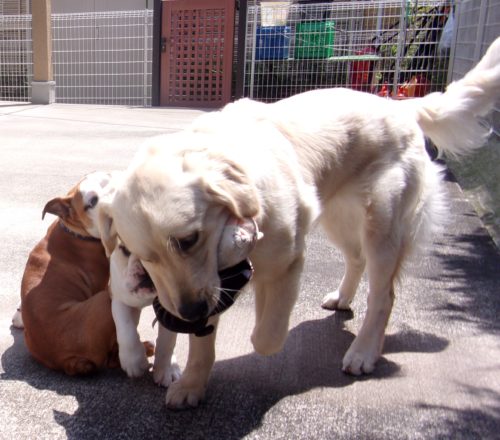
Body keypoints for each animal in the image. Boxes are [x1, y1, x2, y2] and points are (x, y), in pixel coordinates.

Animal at [14, 172, 121, 375]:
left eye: (109, 177)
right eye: (92, 202)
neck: (74, 232)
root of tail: (66, 362)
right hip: (104, 300)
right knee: (113, 357)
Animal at [97, 37, 500, 408]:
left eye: (189, 240)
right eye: (139, 255)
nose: (190, 312)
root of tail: (401, 104)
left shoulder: (285, 264)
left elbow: (266, 336)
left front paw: (256, 334)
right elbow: (202, 344)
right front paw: (192, 385)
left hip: (382, 224)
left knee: (383, 295)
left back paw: (364, 352)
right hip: (338, 216)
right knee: (356, 259)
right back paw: (342, 298)